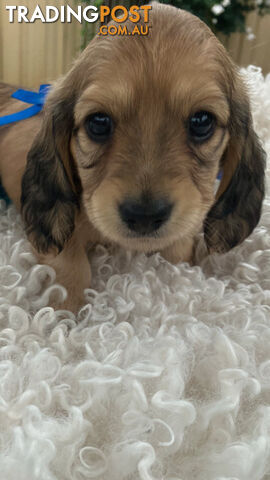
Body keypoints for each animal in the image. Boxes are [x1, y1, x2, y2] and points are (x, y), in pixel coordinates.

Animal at [0, 3, 266, 312]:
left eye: (202, 121)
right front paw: (65, 313)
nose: (144, 218)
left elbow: (178, 250)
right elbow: (70, 261)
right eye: (98, 122)